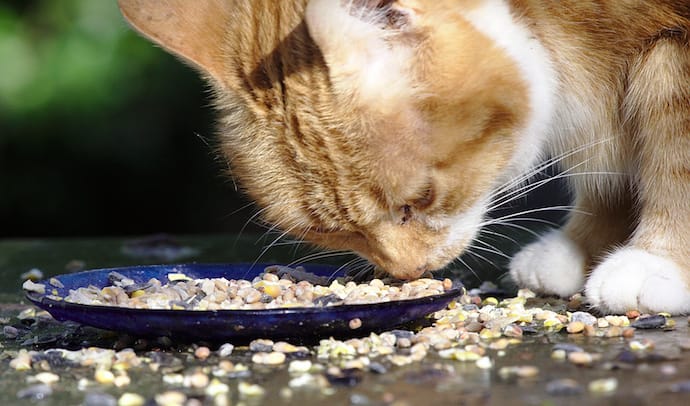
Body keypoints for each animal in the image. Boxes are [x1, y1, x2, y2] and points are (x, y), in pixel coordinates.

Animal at [119, 0, 688, 314]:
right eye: (335, 233)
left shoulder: (670, 52)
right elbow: (607, 175)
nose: (409, 272)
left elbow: (672, 153)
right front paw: (581, 246)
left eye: (420, 200)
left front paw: (660, 260)